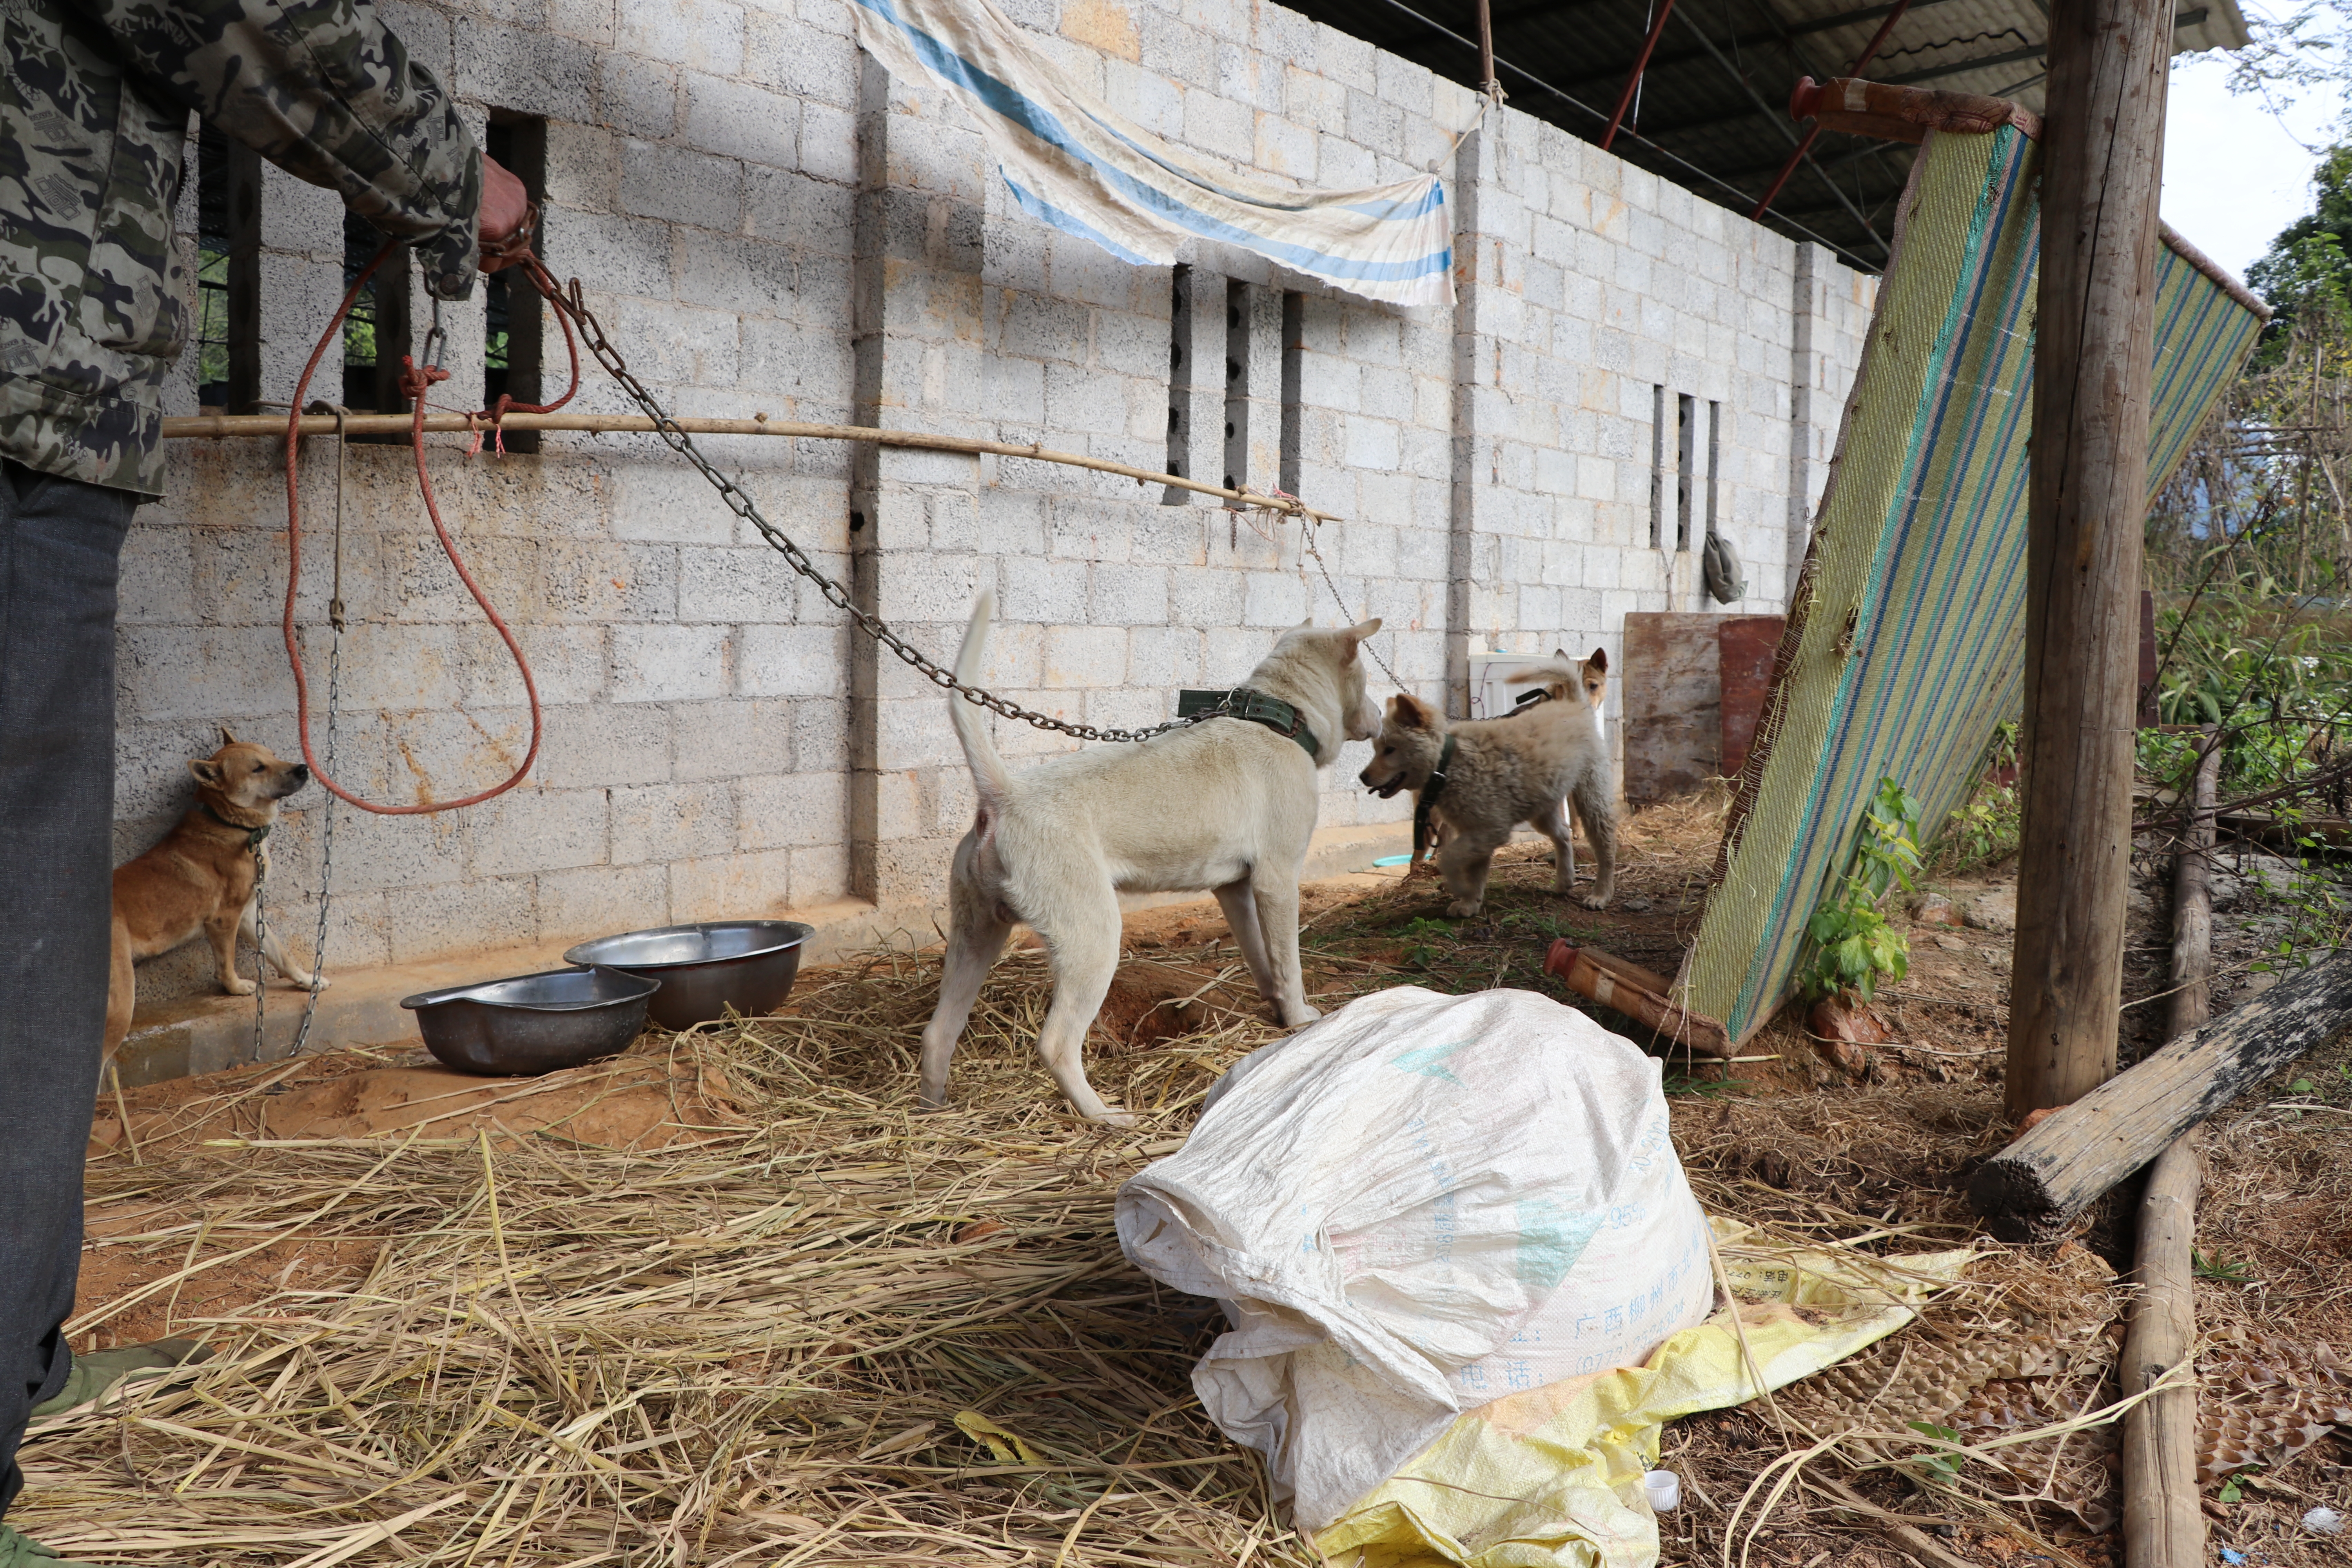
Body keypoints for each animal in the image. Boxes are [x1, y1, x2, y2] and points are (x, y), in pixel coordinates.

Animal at [107, 733, 329, 1053]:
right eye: (258, 768)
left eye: (273, 755)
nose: (303, 768)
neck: (230, 823)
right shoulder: (224, 920)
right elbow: (226, 962)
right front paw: (236, 988)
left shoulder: (249, 915)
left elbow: (281, 954)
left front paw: (307, 981)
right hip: (121, 1003)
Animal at [917, 592, 1383, 1128]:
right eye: (1366, 676)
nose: (1382, 716)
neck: (1277, 719)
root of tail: (1005, 795)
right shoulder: (1278, 878)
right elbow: (1289, 960)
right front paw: (1301, 1018)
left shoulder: (1236, 889)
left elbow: (1260, 955)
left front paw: (1273, 1004)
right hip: (1091, 939)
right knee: (1056, 1044)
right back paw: (1104, 1115)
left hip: (976, 934)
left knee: (938, 1034)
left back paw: (932, 1112)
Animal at [1364, 649, 1618, 921]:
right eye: (1377, 750)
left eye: (1390, 750)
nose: (1363, 778)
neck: (1448, 763)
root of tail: (1575, 705)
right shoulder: (1478, 831)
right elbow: (1475, 870)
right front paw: (1470, 903)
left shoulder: (1491, 828)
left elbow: (1449, 858)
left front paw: (1459, 888)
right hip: (1543, 803)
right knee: (1562, 834)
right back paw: (1564, 881)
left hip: (1591, 794)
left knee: (1605, 847)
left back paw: (1601, 894)